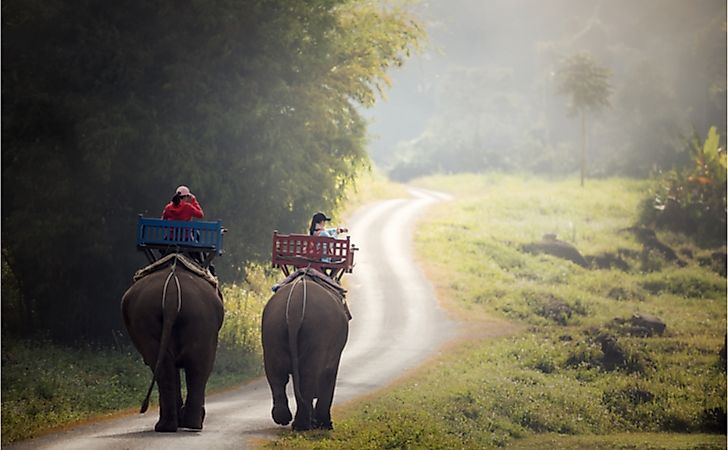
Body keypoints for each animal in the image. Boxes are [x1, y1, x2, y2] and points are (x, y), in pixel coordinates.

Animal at [121, 253, 223, 432]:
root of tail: (171, 295)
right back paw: (188, 424)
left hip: (160, 317)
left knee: (172, 365)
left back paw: (171, 425)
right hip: (198, 318)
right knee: (197, 366)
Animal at [264, 270, 352, 432]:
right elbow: (329, 375)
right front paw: (325, 425)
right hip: (316, 332)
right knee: (308, 376)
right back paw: (303, 425)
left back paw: (284, 419)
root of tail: (294, 309)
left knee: (276, 375)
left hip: (272, 330)